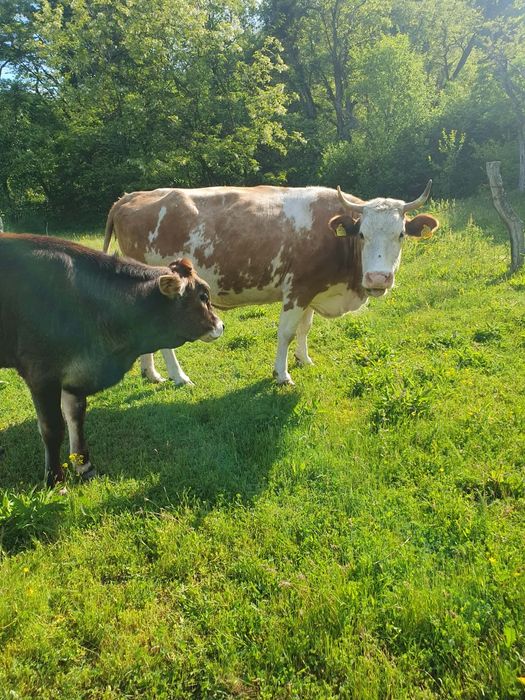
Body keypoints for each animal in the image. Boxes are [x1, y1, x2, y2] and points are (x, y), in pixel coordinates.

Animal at [0, 234, 223, 486]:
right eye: (203, 296)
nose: (221, 325)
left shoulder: (77, 374)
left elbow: (76, 417)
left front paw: (84, 466)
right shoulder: (41, 375)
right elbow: (53, 428)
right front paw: (55, 479)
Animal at [103, 182, 439, 385]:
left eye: (401, 234)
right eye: (362, 234)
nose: (378, 278)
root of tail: (130, 197)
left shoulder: (313, 288)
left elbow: (305, 328)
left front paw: (304, 360)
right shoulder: (298, 289)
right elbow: (287, 332)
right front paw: (282, 374)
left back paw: (151, 373)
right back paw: (178, 376)